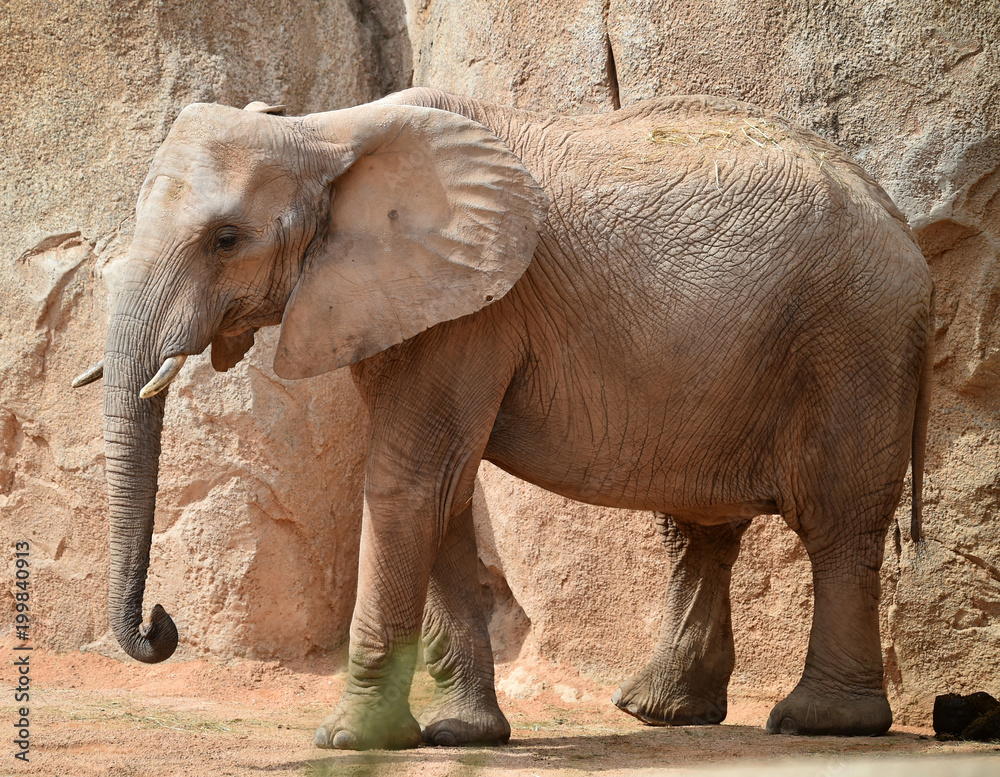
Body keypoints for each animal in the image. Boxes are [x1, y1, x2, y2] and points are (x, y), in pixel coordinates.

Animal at [74, 87, 933, 749]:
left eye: (226, 240)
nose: (162, 624)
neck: (330, 130)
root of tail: (902, 223)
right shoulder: (407, 303)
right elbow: (441, 493)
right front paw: (461, 735)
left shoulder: (471, 311)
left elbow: (409, 483)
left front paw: (348, 740)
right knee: (700, 530)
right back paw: (661, 710)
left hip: (852, 341)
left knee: (837, 523)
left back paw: (818, 722)